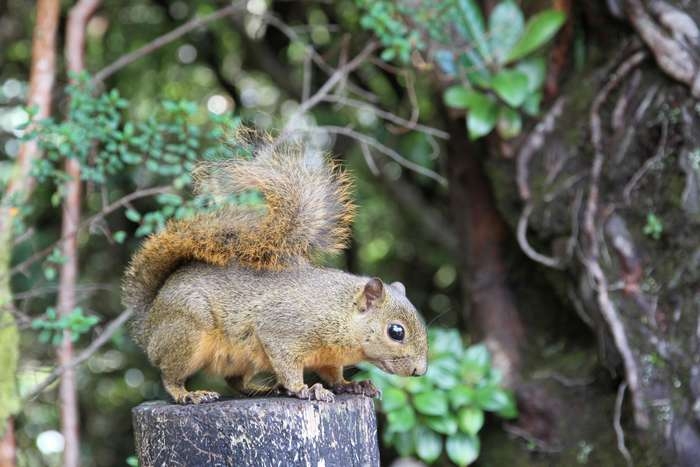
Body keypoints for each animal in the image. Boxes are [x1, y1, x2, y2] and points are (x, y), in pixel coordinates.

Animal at [121, 129, 426, 406]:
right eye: (396, 332)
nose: (419, 371)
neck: (339, 310)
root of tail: (148, 323)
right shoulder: (282, 331)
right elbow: (288, 365)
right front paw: (305, 389)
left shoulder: (328, 357)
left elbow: (333, 374)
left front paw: (352, 385)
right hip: (187, 334)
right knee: (170, 375)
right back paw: (189, 394)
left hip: (240, 359)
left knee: (236, 382)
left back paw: (265, 390)